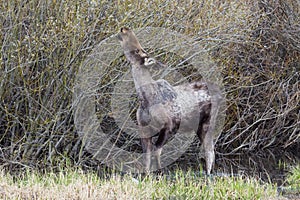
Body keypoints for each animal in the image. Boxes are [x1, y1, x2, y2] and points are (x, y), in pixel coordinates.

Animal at [117, 27, 223, 174]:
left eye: (138, 51)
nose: (125, 29)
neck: (146, 99)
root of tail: (220, 93)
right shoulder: (144, 128)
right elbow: (147, 156)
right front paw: (147, 174)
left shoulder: (169, 126)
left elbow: (157, 151)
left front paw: (160, 172)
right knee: (210, 149)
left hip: (207, 122)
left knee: (209, 151)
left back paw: (208, 175)